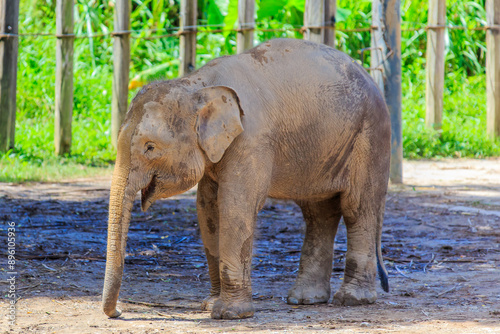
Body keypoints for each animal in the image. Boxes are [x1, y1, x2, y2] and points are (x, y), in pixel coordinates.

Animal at [101, 37, 390, 320]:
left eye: (150, 147)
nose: (119, 311)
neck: (197, 84)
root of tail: (372, 79)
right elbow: (207, 210)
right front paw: (210, 306)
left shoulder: (251, 140)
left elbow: (235, 206)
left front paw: (229, 314)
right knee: (318, 213)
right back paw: (305, 299)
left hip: (368, 137)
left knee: (357, 208)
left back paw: (351, 299)